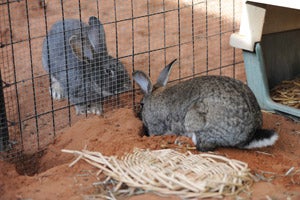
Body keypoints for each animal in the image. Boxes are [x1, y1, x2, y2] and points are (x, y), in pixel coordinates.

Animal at [134, 59, 278, 152]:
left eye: (141, 104)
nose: (139, 114)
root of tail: (249, 135)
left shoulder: (156, 125)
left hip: (195, 119)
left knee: (204, 146)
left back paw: (181, 141)